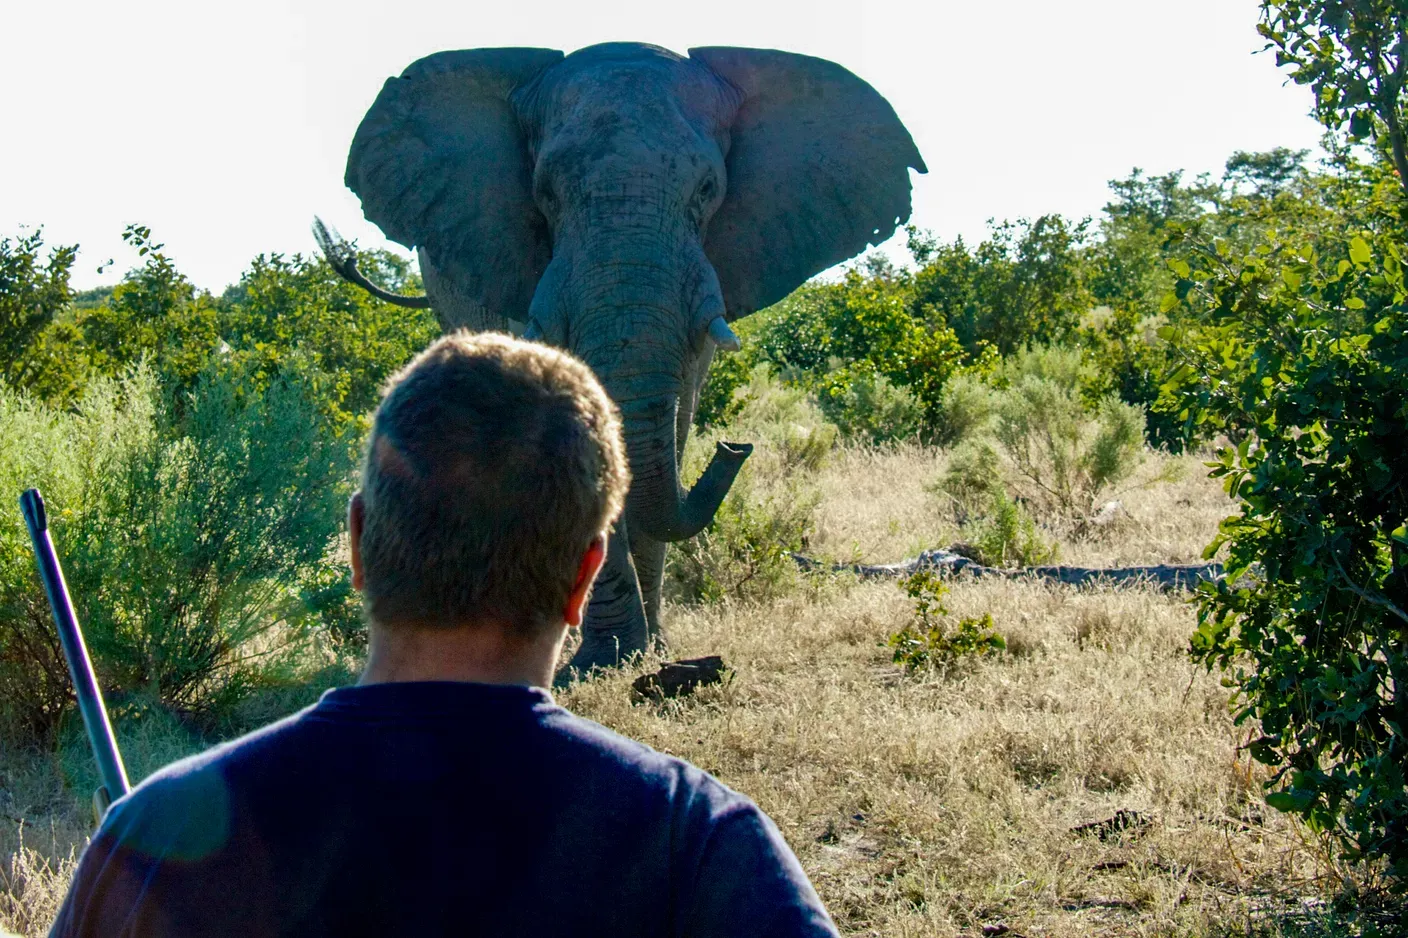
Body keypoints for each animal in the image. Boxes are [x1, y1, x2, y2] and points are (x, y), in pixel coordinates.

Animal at [318, 42, 925, 678]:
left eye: (708, 189)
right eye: (546, 193)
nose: (735, 448)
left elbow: (675, 416)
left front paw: (649, 650)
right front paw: (604, 660)